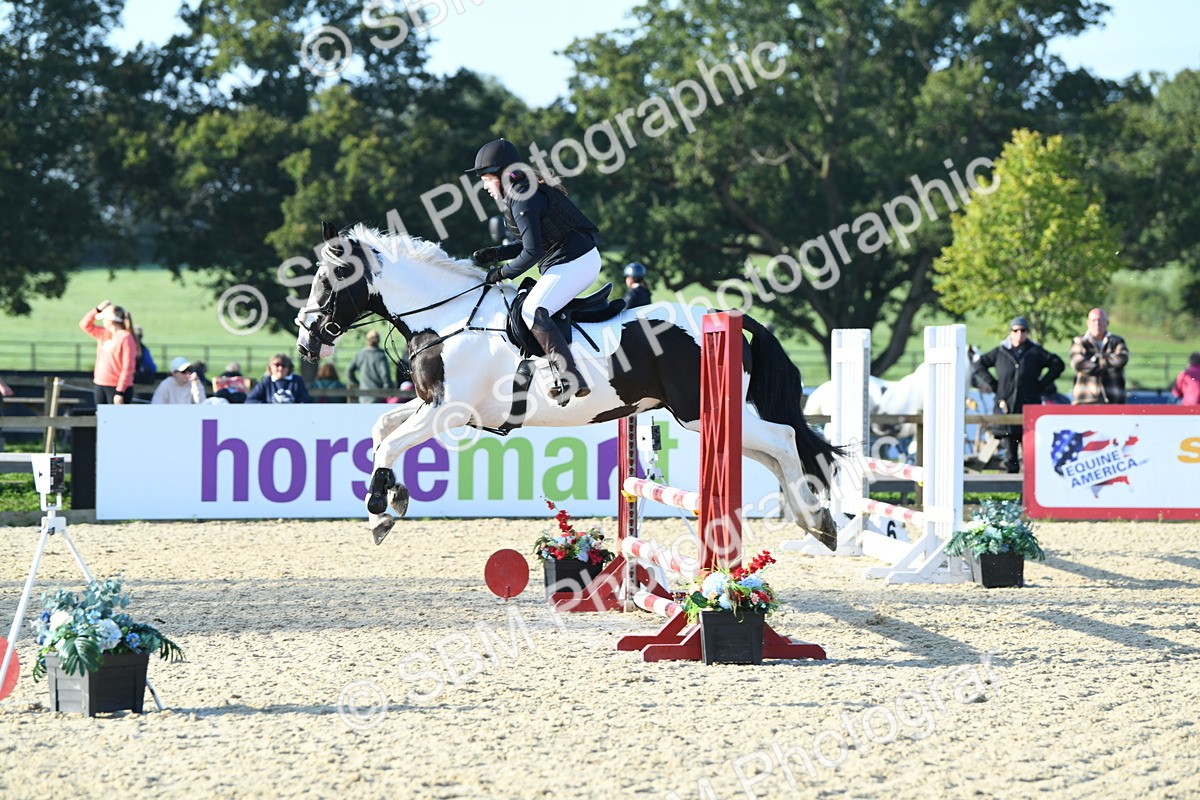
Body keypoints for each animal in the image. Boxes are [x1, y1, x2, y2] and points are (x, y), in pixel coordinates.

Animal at [294, 222, 843, 547]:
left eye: (333, 275)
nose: (305, 339)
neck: (448, 318)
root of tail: (720, 317)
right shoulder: (431, 404)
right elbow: (380, 429)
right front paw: (395, 499)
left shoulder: (450, 412)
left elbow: (388, 444)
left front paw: (378, 511)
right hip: (707, 415)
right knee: (773, 451)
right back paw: (810, 516)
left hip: (697, 412)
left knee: (784, 439)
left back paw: (818, 520)